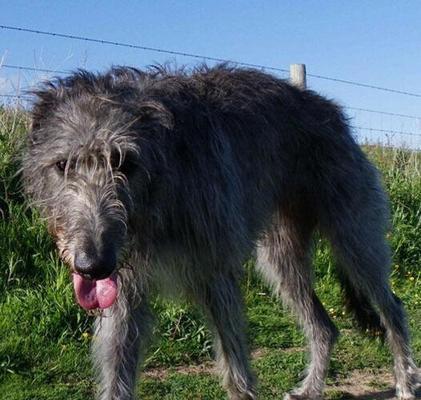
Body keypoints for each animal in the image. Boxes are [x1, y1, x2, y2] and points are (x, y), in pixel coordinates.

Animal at [23, 65, 420, 400]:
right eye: (62, 165)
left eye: (125, 162)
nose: (93, 266)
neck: (163, 188)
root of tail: (331, 110)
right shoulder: (125, 289)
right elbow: (117, 371)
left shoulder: (215, 274)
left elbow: (236, 371)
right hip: (280, 259)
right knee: (323, 326)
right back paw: (310, 389)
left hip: (354, 238)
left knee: (392, 307)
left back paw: (404, 382)